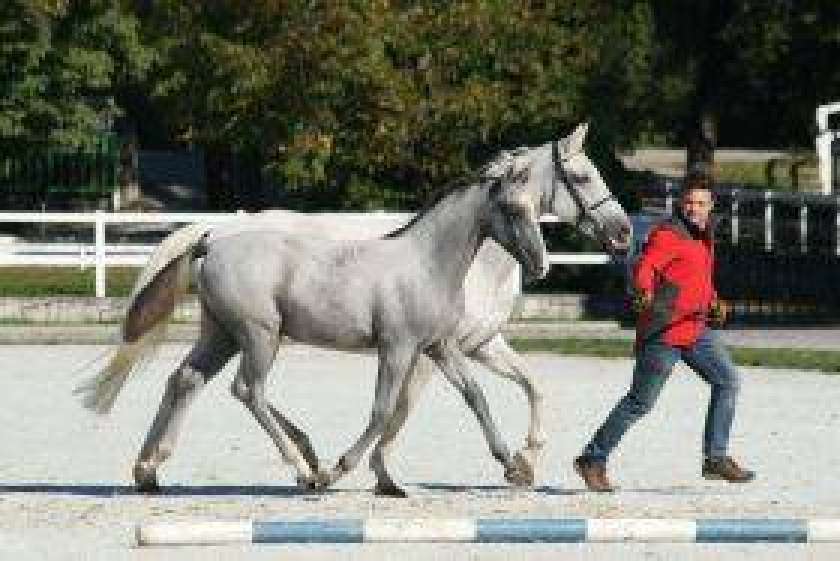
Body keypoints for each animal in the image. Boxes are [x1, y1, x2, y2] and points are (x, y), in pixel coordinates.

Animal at [77, 123, 632, 494]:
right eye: (582, 175)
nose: (623, 232)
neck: (428, 261)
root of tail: (212, 239)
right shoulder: (402, 349)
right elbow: (388, 410)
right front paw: (354, 471)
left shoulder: (443, 345)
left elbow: (478, 396)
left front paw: (516, 465)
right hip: (260, 336)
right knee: (247, 390)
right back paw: (305, 468)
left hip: (222, 335)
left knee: (186, 381)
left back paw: (150, 471)